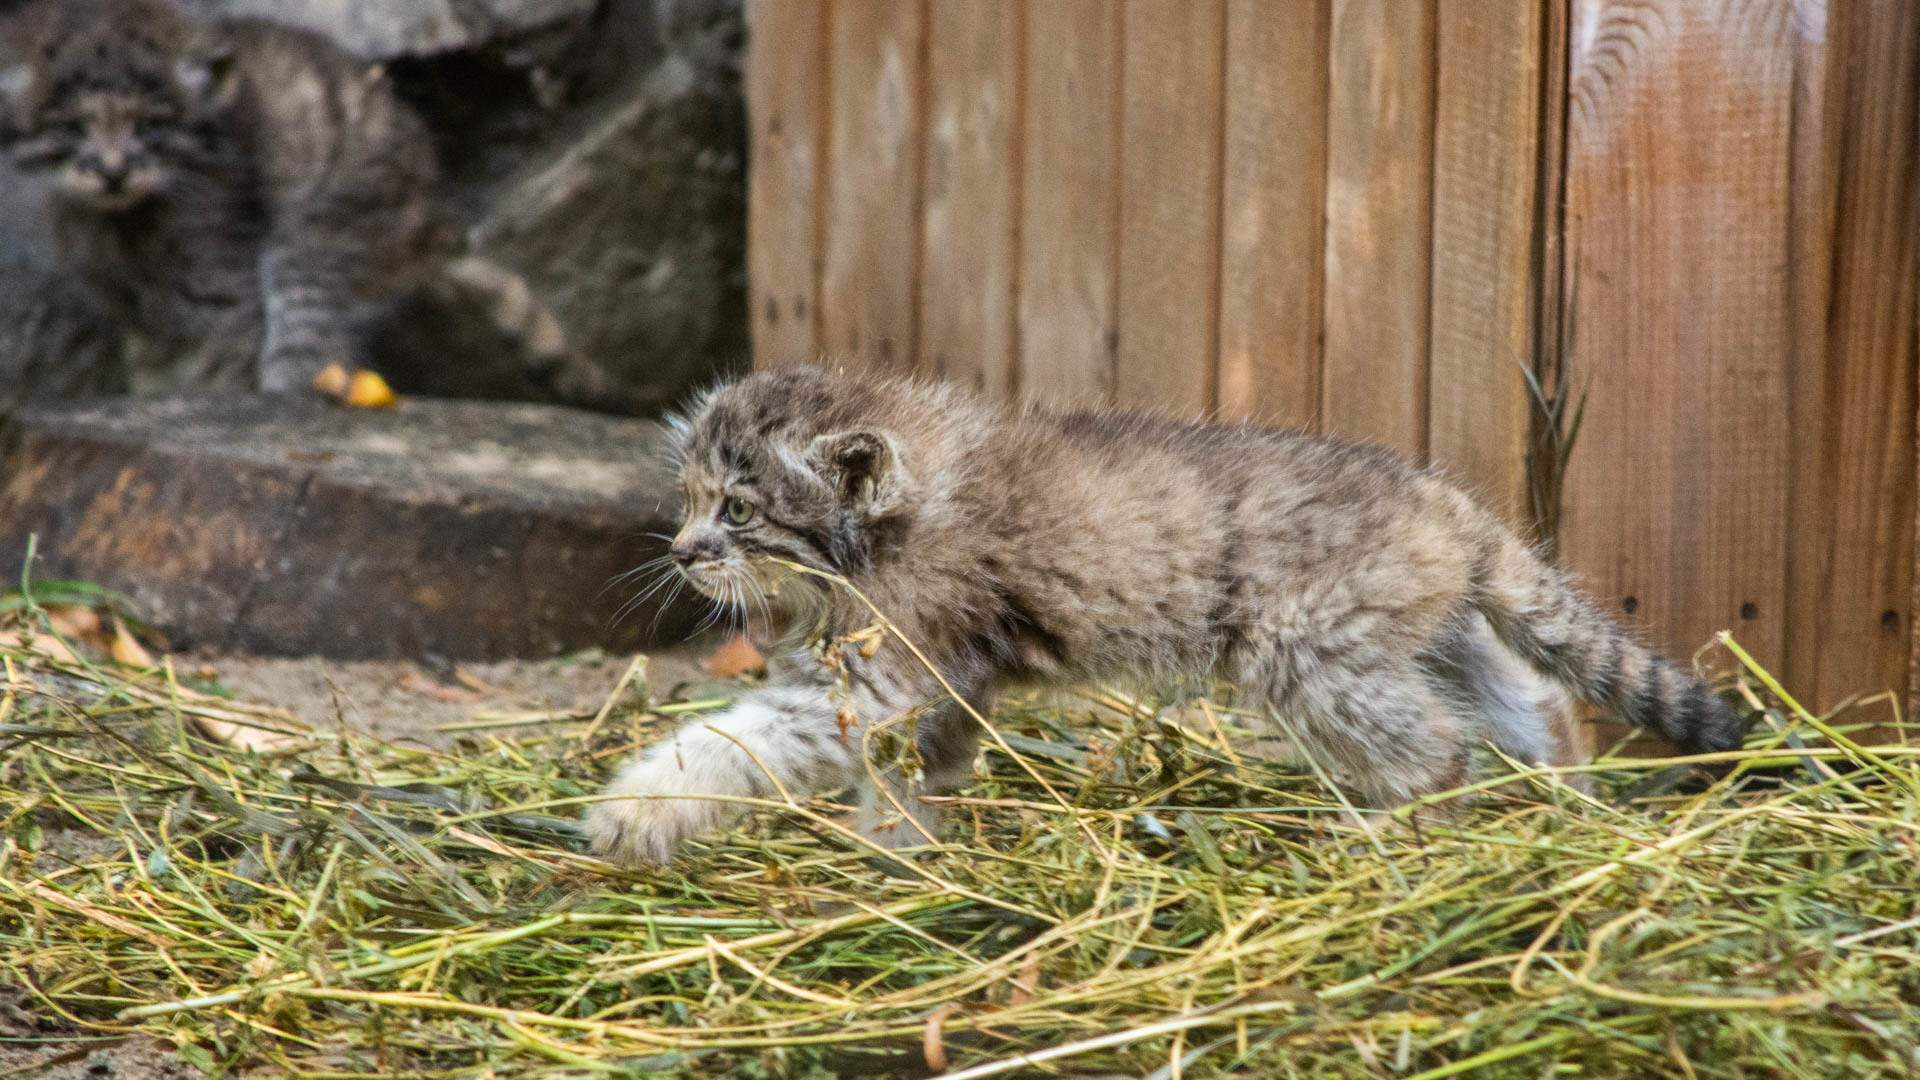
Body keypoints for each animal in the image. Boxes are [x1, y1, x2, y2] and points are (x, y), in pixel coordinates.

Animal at [591, 365, 1751, 860]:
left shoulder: (880, 680)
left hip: (1310, 657)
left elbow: (733, 741)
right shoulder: (937, 688)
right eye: (691, 499)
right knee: (1532, 708)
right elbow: (918, 776)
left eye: (738, 511)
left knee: (1437, 749)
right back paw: (1560, 807)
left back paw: (1391, 837)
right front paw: (902, 859)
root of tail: (1447, 502)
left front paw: (636, 812)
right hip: (1434, 640)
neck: (894, 523)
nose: (682, 552)